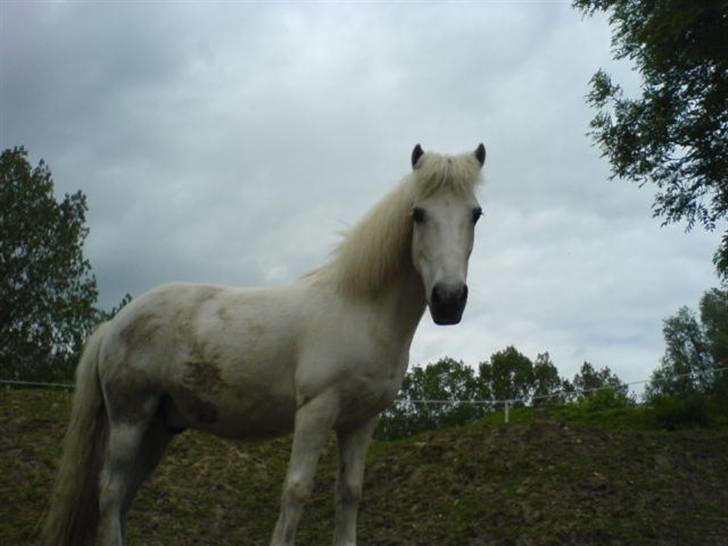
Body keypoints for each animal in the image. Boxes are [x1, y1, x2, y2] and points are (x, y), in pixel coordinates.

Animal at [44, 142, 490, 540]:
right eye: (418, 214)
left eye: (476, 214)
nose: (449, 300)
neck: (360, 311)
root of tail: (113, 324)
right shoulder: (315, 411)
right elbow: (296, 492)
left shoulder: (361, 422)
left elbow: (349, 495)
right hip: (129, 419)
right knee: (110, 493)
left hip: (157, 428)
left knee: (123, 499)